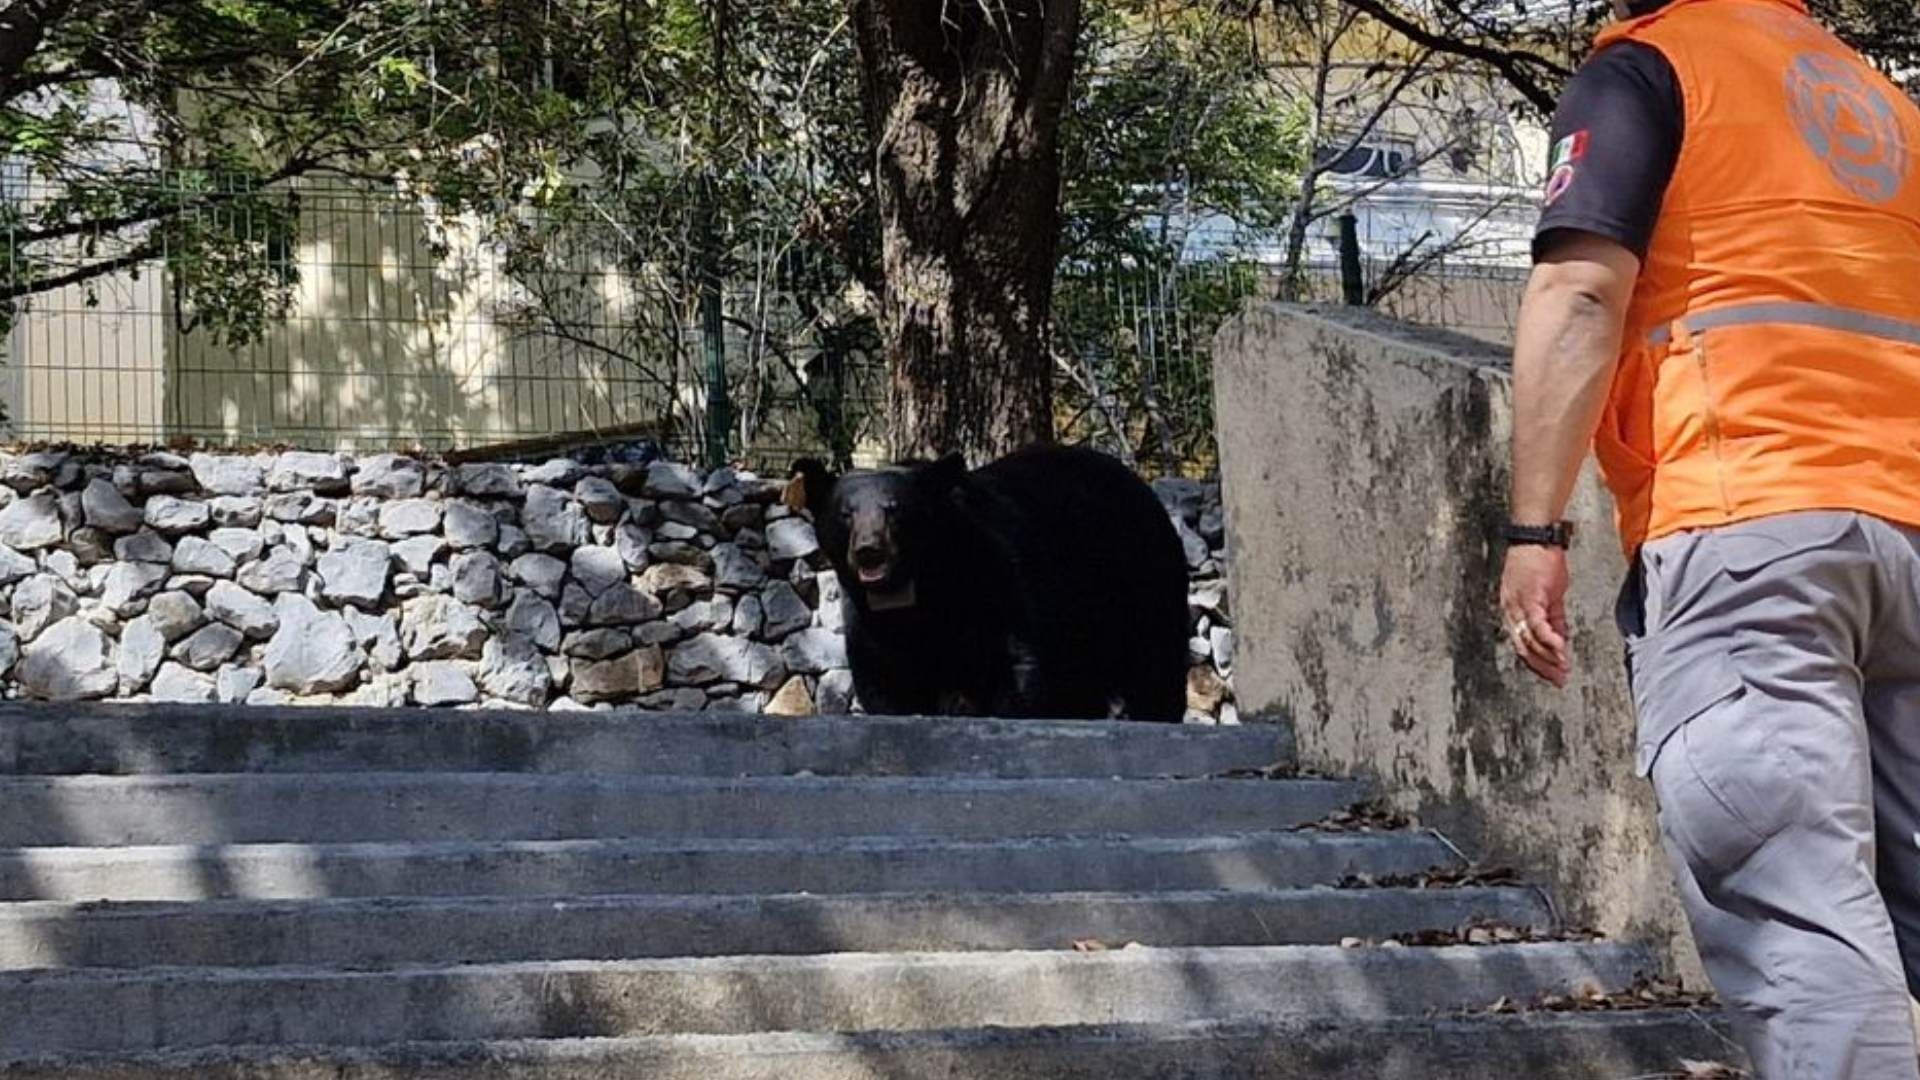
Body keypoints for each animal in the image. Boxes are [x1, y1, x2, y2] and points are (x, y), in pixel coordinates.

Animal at [785, 444, 1189, 721]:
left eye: (894, 509)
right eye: (845, 514)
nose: (870, 552)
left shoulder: (995, 582)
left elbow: (1014, 669)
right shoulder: (869, 621)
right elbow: (885, 682)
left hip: (1142, 582)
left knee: (1156, 665)